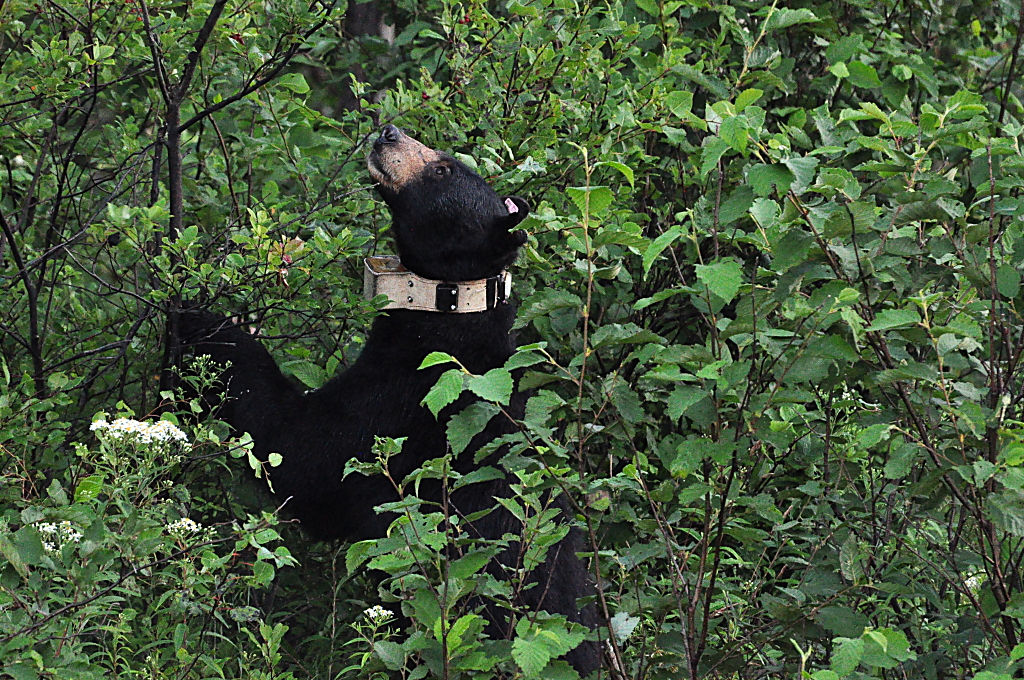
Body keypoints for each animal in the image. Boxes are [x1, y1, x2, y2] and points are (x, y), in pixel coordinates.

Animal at [183, 125, 598, 675]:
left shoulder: (400, 407)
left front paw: (204, 324)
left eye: (443, 169)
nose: (387, 132)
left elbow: (304, 456)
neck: (444, 314)